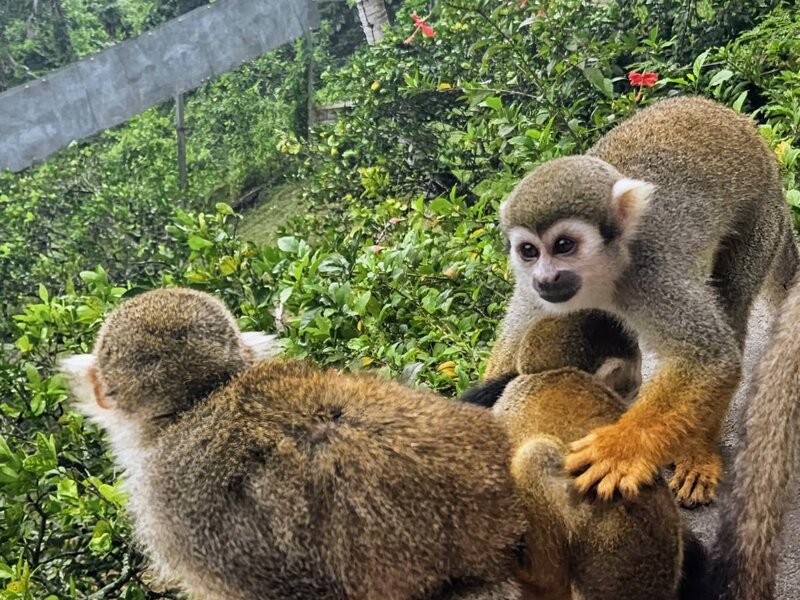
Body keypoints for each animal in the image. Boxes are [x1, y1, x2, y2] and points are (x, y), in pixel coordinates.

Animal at [494, 95, 799, 508]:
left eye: (564, 245)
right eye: (528, 251)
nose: (546, 278)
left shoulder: (650, 272)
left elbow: (709, 358)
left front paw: (618, 450)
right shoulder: (532, 290)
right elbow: (512, 349)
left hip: (761, 219)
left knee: (731, 301)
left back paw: (699, 449)